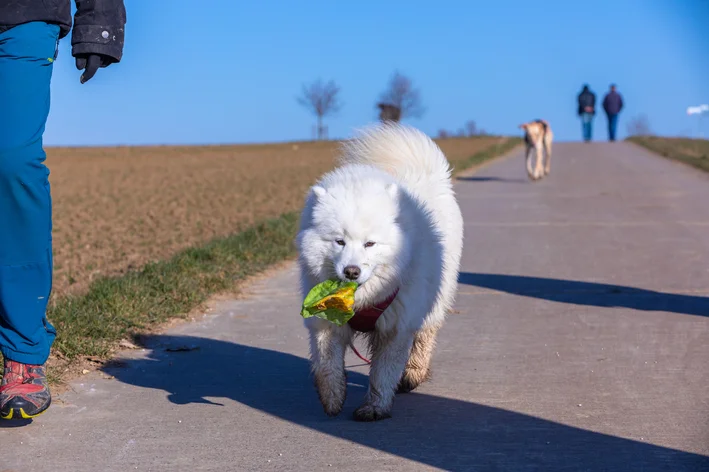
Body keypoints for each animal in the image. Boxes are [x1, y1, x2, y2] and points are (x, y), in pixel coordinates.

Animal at [294, 123, 464, 422]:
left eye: (370, 243)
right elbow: (328, 364)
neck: (363, 298)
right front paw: (332, 397)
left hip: (435, 297)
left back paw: (413, 373)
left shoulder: (396, 324)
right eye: (339, 241)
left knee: (425, 335)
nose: (351, 271)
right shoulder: (325, 322)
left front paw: (374, 407)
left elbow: (383, 372)